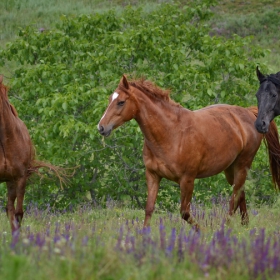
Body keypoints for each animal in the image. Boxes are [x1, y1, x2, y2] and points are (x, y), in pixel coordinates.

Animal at [98, 75, 280, 230]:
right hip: (230, 169)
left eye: (121, 102)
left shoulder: (187, 179)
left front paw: (204, 232)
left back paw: (225, 229)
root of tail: (250, 113)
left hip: (243, 165)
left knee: (233, 199)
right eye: (110, 99)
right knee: (240, 193)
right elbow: (149, 208)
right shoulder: (153, 175)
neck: (171, 133)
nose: (101, 127)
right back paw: (244, 226)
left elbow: (184, 212)